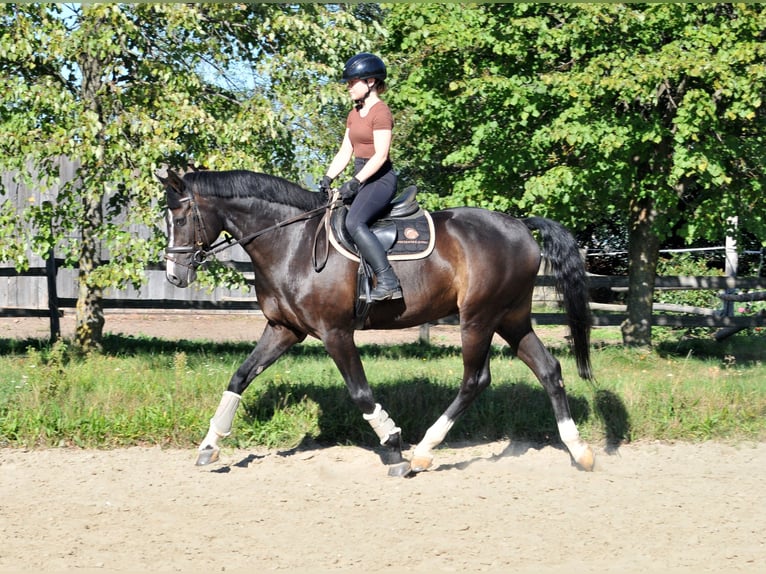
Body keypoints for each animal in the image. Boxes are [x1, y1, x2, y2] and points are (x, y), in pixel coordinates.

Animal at [160, 168, 596, 476]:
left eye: (180, 218)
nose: (174, 276)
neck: (292, 243)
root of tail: (520, 226)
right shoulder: (284, 330)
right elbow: (240, 377)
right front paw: (210, 445)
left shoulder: (335, 333)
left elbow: (361, 393)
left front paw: (393, 447)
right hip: (512, 319)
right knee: (549, 370)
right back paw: (579, 450)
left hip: (479, 318)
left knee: (475, 380)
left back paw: (423, 452)